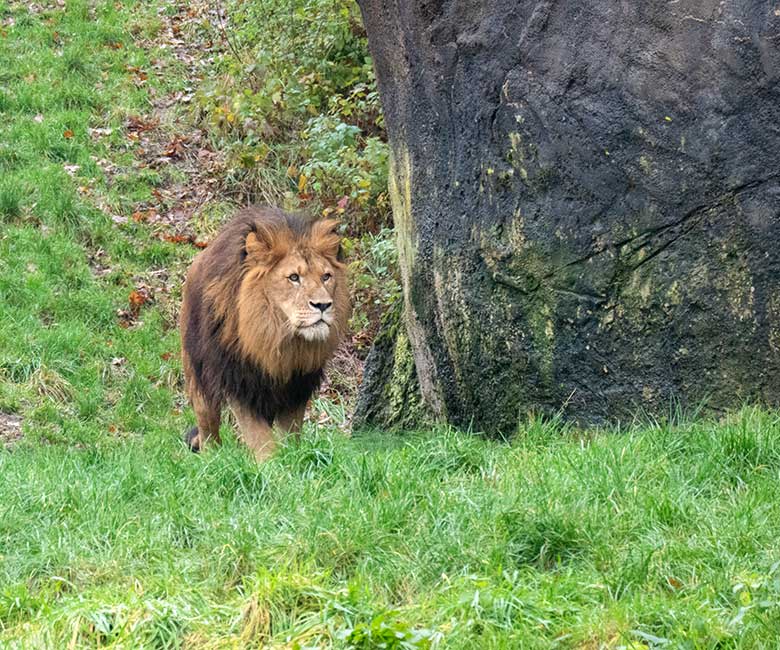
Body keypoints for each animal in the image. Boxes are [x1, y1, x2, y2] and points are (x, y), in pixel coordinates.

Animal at [180, 205, 350, 458]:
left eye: (326, 276)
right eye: (294, 277)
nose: (323, 305)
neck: (277, 339)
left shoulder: (298, 386)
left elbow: (290, 433)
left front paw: (292, 457)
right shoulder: (239, 380)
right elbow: (260, 438)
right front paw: (272, 464)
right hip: (197, 371)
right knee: (207, 422)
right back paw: (214, 457)